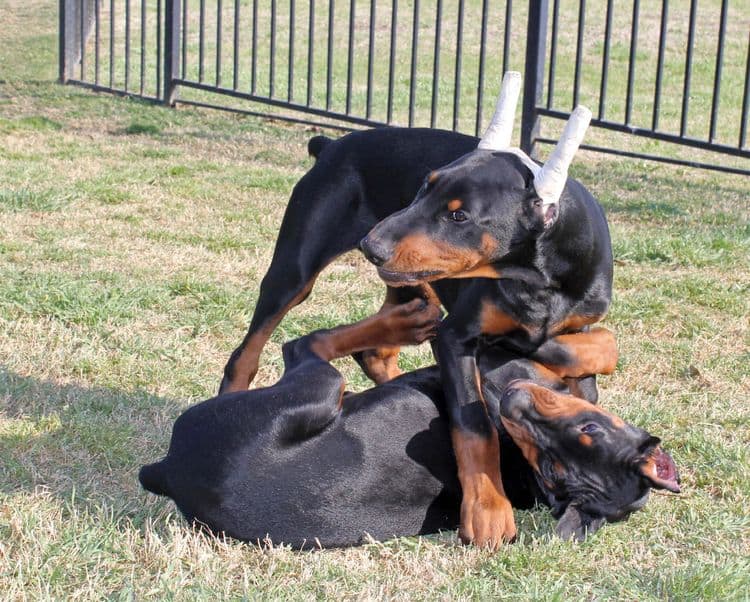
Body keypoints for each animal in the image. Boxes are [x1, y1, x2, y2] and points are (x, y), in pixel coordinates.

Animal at [141, 302, 680, 548]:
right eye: (589, 429)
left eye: (552, 472)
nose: (510, 402)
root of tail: (167, 471)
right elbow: (590, 347)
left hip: (313, 391)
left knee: (306, 344)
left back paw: (404, 321)